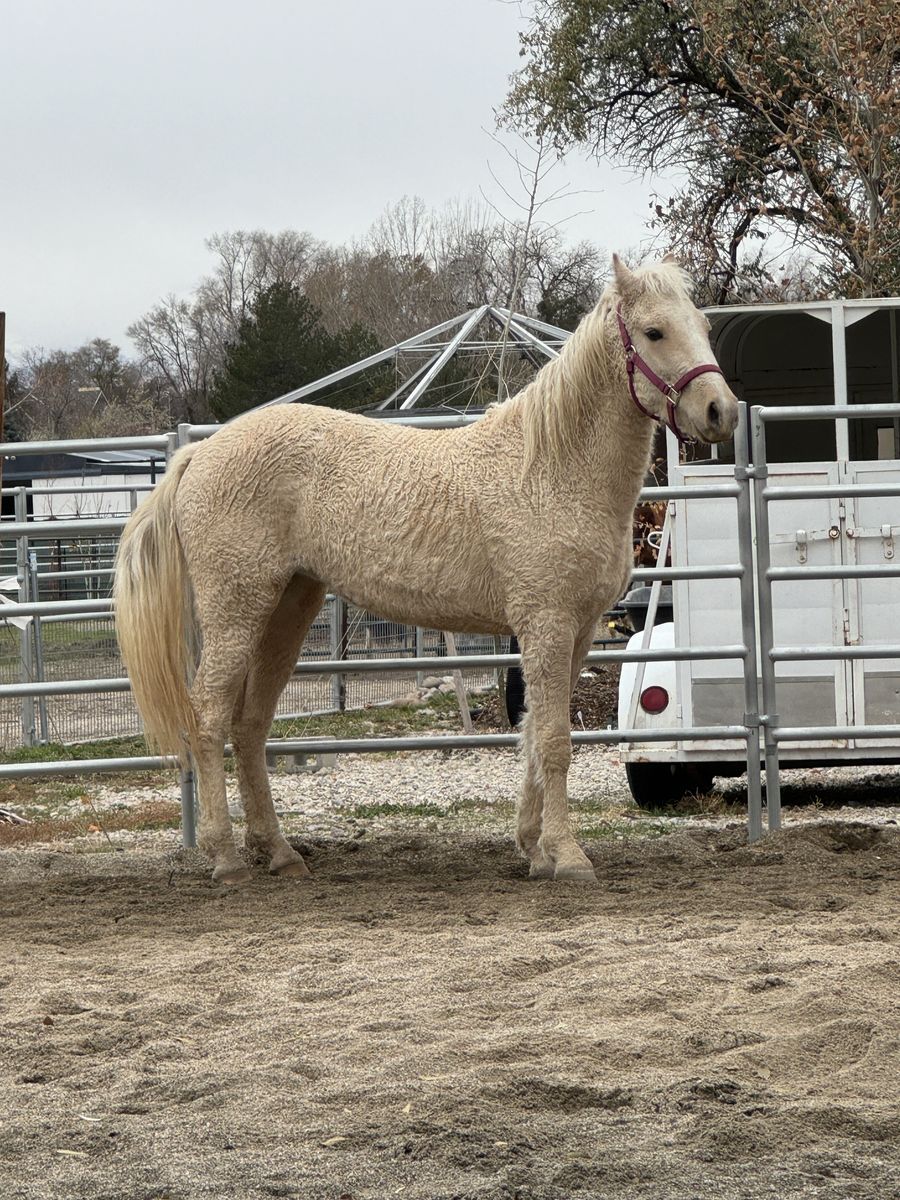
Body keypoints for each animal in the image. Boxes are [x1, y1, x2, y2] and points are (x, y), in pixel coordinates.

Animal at [114, 255, 738, 885]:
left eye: (704, 328)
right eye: (654, 332)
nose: (722, 411)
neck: (551, 468)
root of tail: (201, 452)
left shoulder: (579, 630)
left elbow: (532, 735)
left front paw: (533, 848)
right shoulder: (548, 624)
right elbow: (555, 741)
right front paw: (567, 856)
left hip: (287, 609)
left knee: (250, 726)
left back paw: (280, 852)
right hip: (236, 611)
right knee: (210, 716)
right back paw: (225, 857)